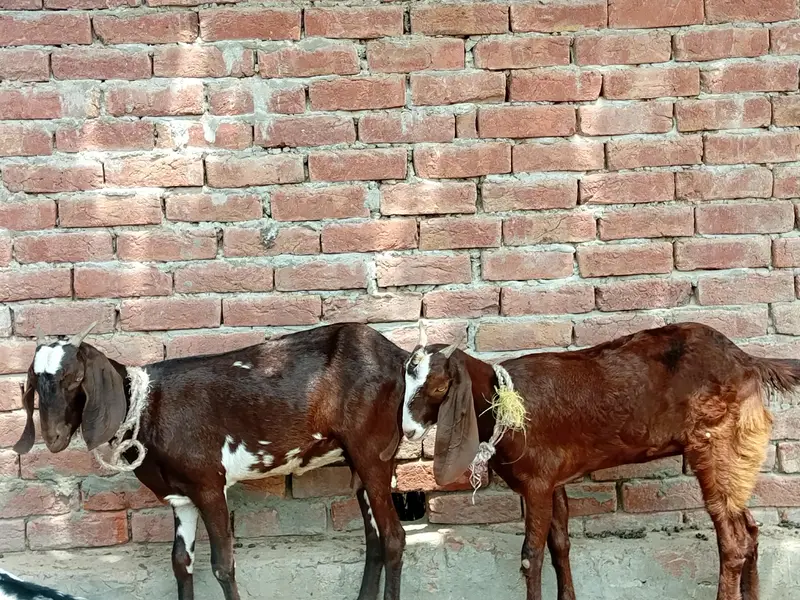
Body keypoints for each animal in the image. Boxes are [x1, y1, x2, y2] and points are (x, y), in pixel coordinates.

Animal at [13, 322, 411, 600]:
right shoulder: (181, 497)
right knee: (374, 540)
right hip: (359, 460)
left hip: (373, 453)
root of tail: (397, 356)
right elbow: (181, 563)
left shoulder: (209, 484)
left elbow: (223, 565)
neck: (150, 407)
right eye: (35, 382)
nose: (53, 437)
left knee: (393, 537)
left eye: (75, 378)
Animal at [401, 322, 798, 600]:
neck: (503, 403)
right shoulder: (553, 481)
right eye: (406, 382)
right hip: (736, 455)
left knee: (733, 541)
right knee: (750, 529)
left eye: (440, 387)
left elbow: (531, 555)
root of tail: (746, 361)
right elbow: (560, 544)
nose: (407, 429)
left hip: (716, 444)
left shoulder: (536, 482)